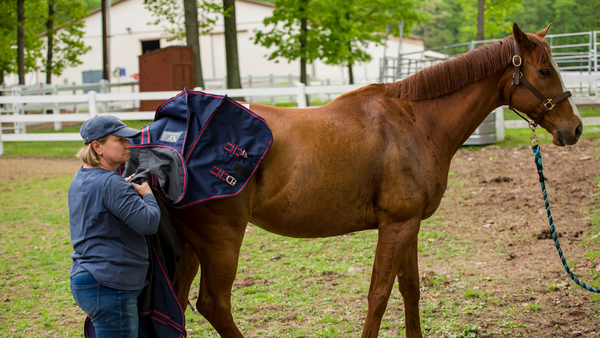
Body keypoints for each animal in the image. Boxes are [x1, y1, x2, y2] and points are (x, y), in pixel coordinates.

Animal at [166, 22, 580, 336]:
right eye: (545, 71)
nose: (574, 128)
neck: (414, 121)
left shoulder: (410, 225)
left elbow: (410, 289)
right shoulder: (396, 225)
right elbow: (379, 295)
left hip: (191, 244)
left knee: (177, 298)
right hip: (221, 241)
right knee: (213, 304)